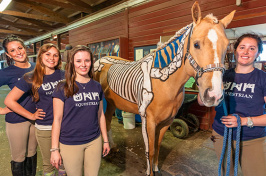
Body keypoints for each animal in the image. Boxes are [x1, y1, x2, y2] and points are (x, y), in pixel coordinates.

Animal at [93, 2, 235, 175]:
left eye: (227, 45)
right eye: (196, 44)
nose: (214, 95)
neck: (164, 82)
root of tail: (101, 59)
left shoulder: (166, 122)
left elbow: (158, 147)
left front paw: (156, 168)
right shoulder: (149, 122)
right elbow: (150, 150)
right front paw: (149, 171)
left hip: (112, 104)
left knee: (107, 121)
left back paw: (112, 148)